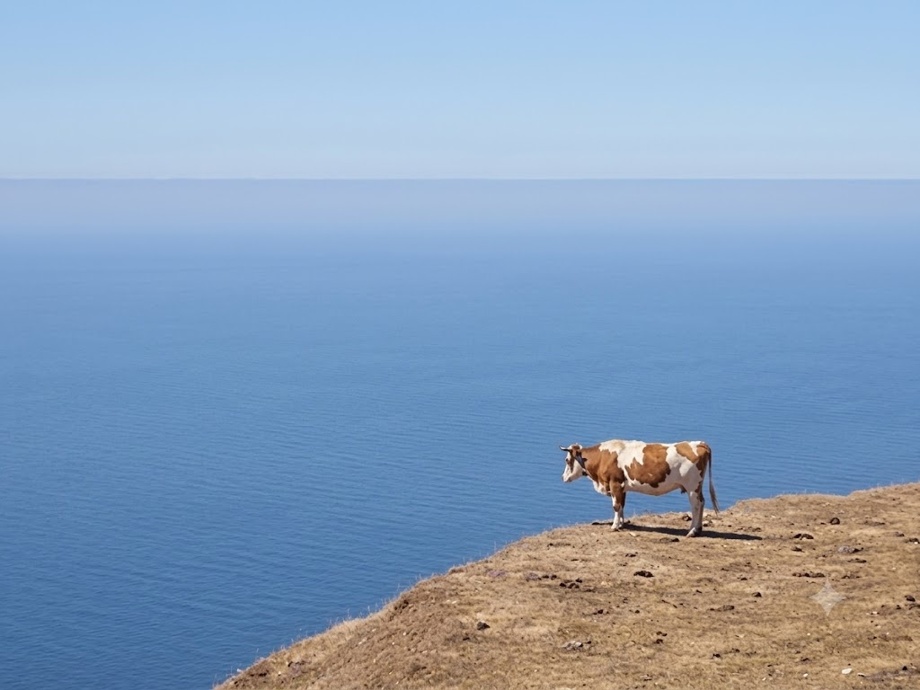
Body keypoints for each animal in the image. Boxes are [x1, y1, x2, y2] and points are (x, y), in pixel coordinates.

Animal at [561, 439, 719, 537]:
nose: (563, 477)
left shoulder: (615, 483)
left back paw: (692, 531)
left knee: (696, 505)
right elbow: (622, 505)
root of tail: (699, 443)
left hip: (692, 486)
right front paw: (621, 524)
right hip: (697, 487)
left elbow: (616, 506)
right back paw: (698, 529)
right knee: (702, 502)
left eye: (567, 460)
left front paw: (614, 526)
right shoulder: (622, 487)